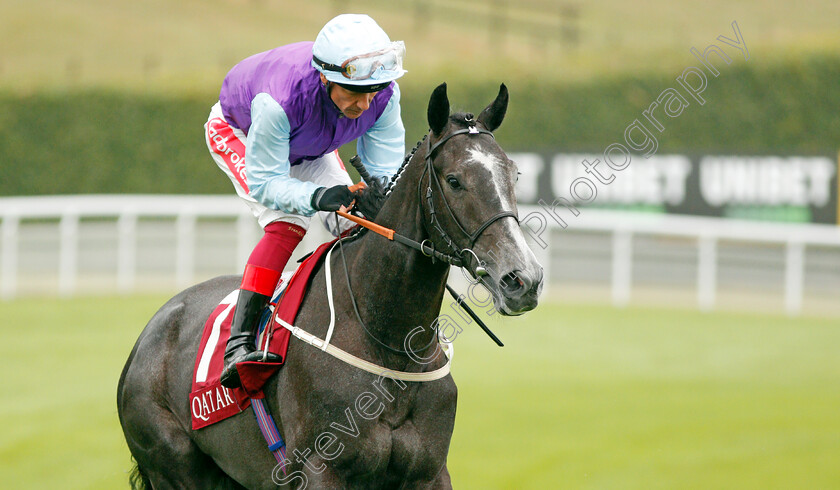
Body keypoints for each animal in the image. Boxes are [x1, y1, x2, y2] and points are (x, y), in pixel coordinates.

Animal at [116, 82, 544, 488]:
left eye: (514, 174)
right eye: (454, 180)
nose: (522, 279)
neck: (389, 343)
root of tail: (150, 332)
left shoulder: (429, 473)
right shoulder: (320, 470)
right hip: (176, 464)